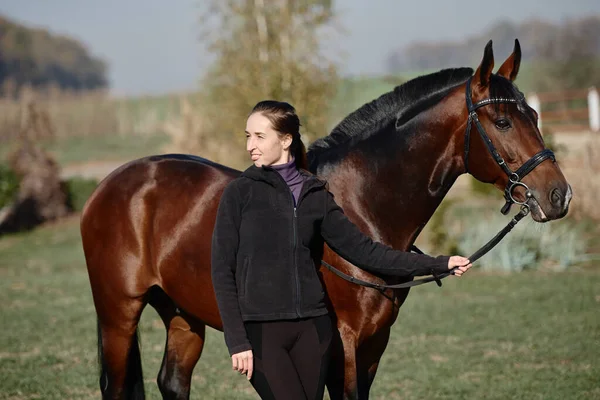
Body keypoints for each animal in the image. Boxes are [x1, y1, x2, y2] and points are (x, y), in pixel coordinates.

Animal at [81, 39, 572, 398]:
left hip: (182, 313)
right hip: (118, 314)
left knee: (173, 381)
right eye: (503, 121)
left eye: (533, 113)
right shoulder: (343, 346)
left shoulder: (374, 346)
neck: (360, 207)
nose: (559, 195)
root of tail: (110, 185)